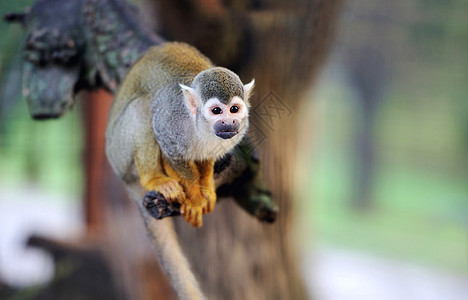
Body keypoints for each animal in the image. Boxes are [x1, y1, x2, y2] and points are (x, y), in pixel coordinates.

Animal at [106, 41, 254, 226]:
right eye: (216, 111)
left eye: (234, 109)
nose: (228, 123)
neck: (198, 125)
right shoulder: (171, 121)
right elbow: (171, 152)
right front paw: (195, 199)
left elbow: (206, 157)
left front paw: (206, 187)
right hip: (120, 153)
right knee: (141, 108)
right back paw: (153, 179)